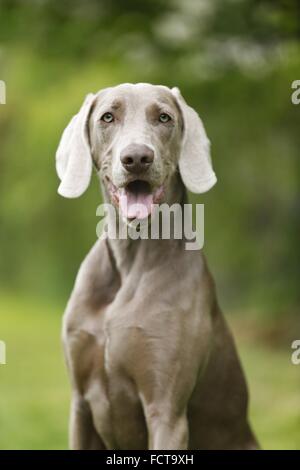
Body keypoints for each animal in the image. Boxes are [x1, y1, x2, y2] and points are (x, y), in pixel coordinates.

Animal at [55, 82, 258, 450]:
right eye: (108, 117)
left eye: (164, 118)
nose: (137, 157)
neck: (129, 259)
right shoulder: (79, 407)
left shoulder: (166, 410)